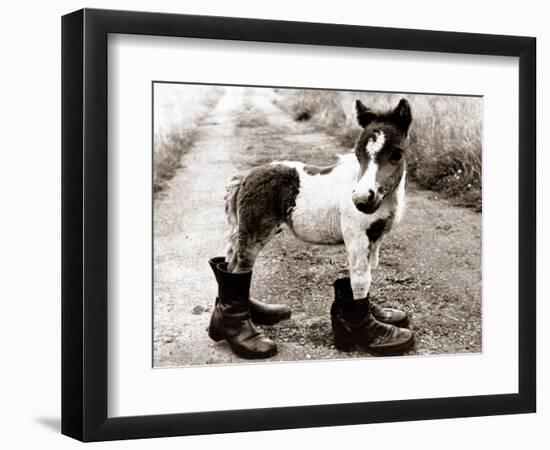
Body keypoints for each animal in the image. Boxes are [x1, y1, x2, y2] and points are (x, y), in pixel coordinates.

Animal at [225, 98, 414, 302]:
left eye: (397, 154)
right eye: (357, 154)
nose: (362, 199)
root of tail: (245, 176)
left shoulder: (375, 239)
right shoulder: (356, 238)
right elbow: (360, 283)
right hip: (252, 236)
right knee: (240, 268)